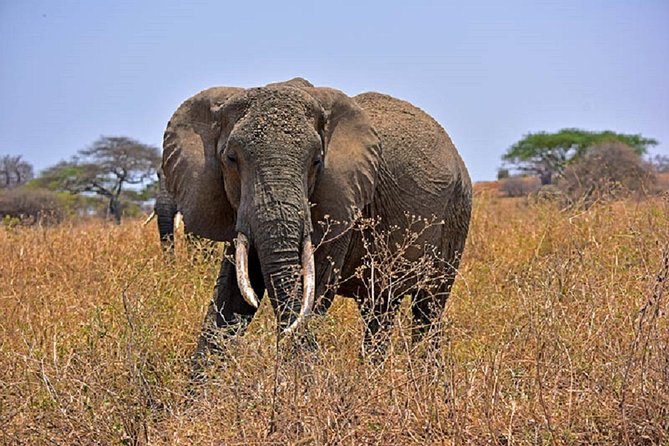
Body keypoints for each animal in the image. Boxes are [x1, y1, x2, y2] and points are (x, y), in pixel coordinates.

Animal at [162, 76, 472, 370]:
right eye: (231, 158)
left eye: (317, 162)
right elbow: (230, 296)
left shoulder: (341, 203)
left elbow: (313, 288)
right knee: (381, 306)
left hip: (457, 215)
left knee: (428, 306)